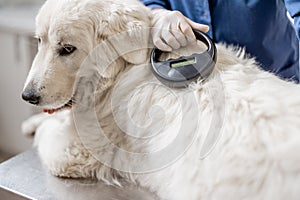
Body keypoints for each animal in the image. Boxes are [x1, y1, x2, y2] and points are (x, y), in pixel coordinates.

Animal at [21, 0, 300, 200]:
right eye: (39, 40)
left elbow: (50, 131)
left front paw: (37, 127)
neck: (122, 68)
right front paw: (30, 123)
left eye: (67, 49)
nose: (28, 96)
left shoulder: (72, 152)